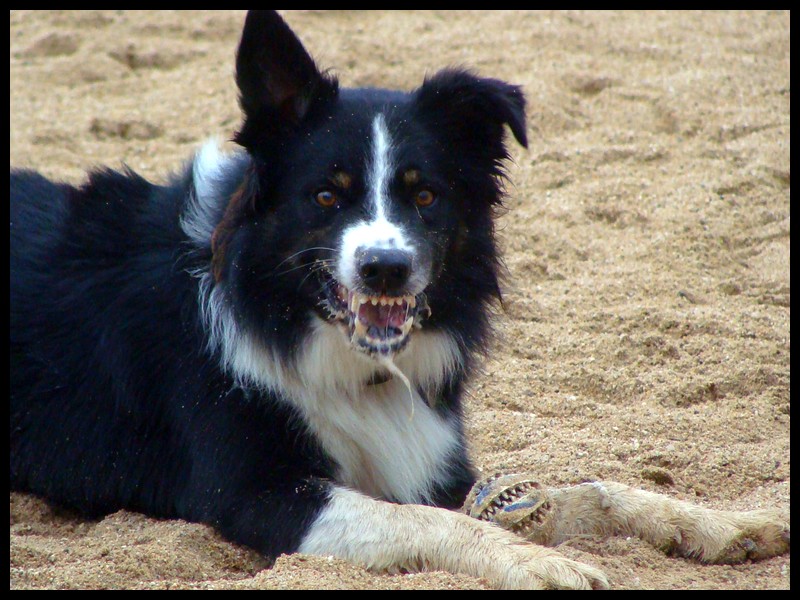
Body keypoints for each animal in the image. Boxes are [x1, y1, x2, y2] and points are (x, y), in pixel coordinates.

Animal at [10, 10, 788, 592]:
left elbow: (588, 490)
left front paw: (723, 525)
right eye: (327, 195)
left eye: (425, 195)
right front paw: (537, 562)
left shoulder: (436, 462)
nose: (384, 268)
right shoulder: (255, 493)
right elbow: (434, 523)